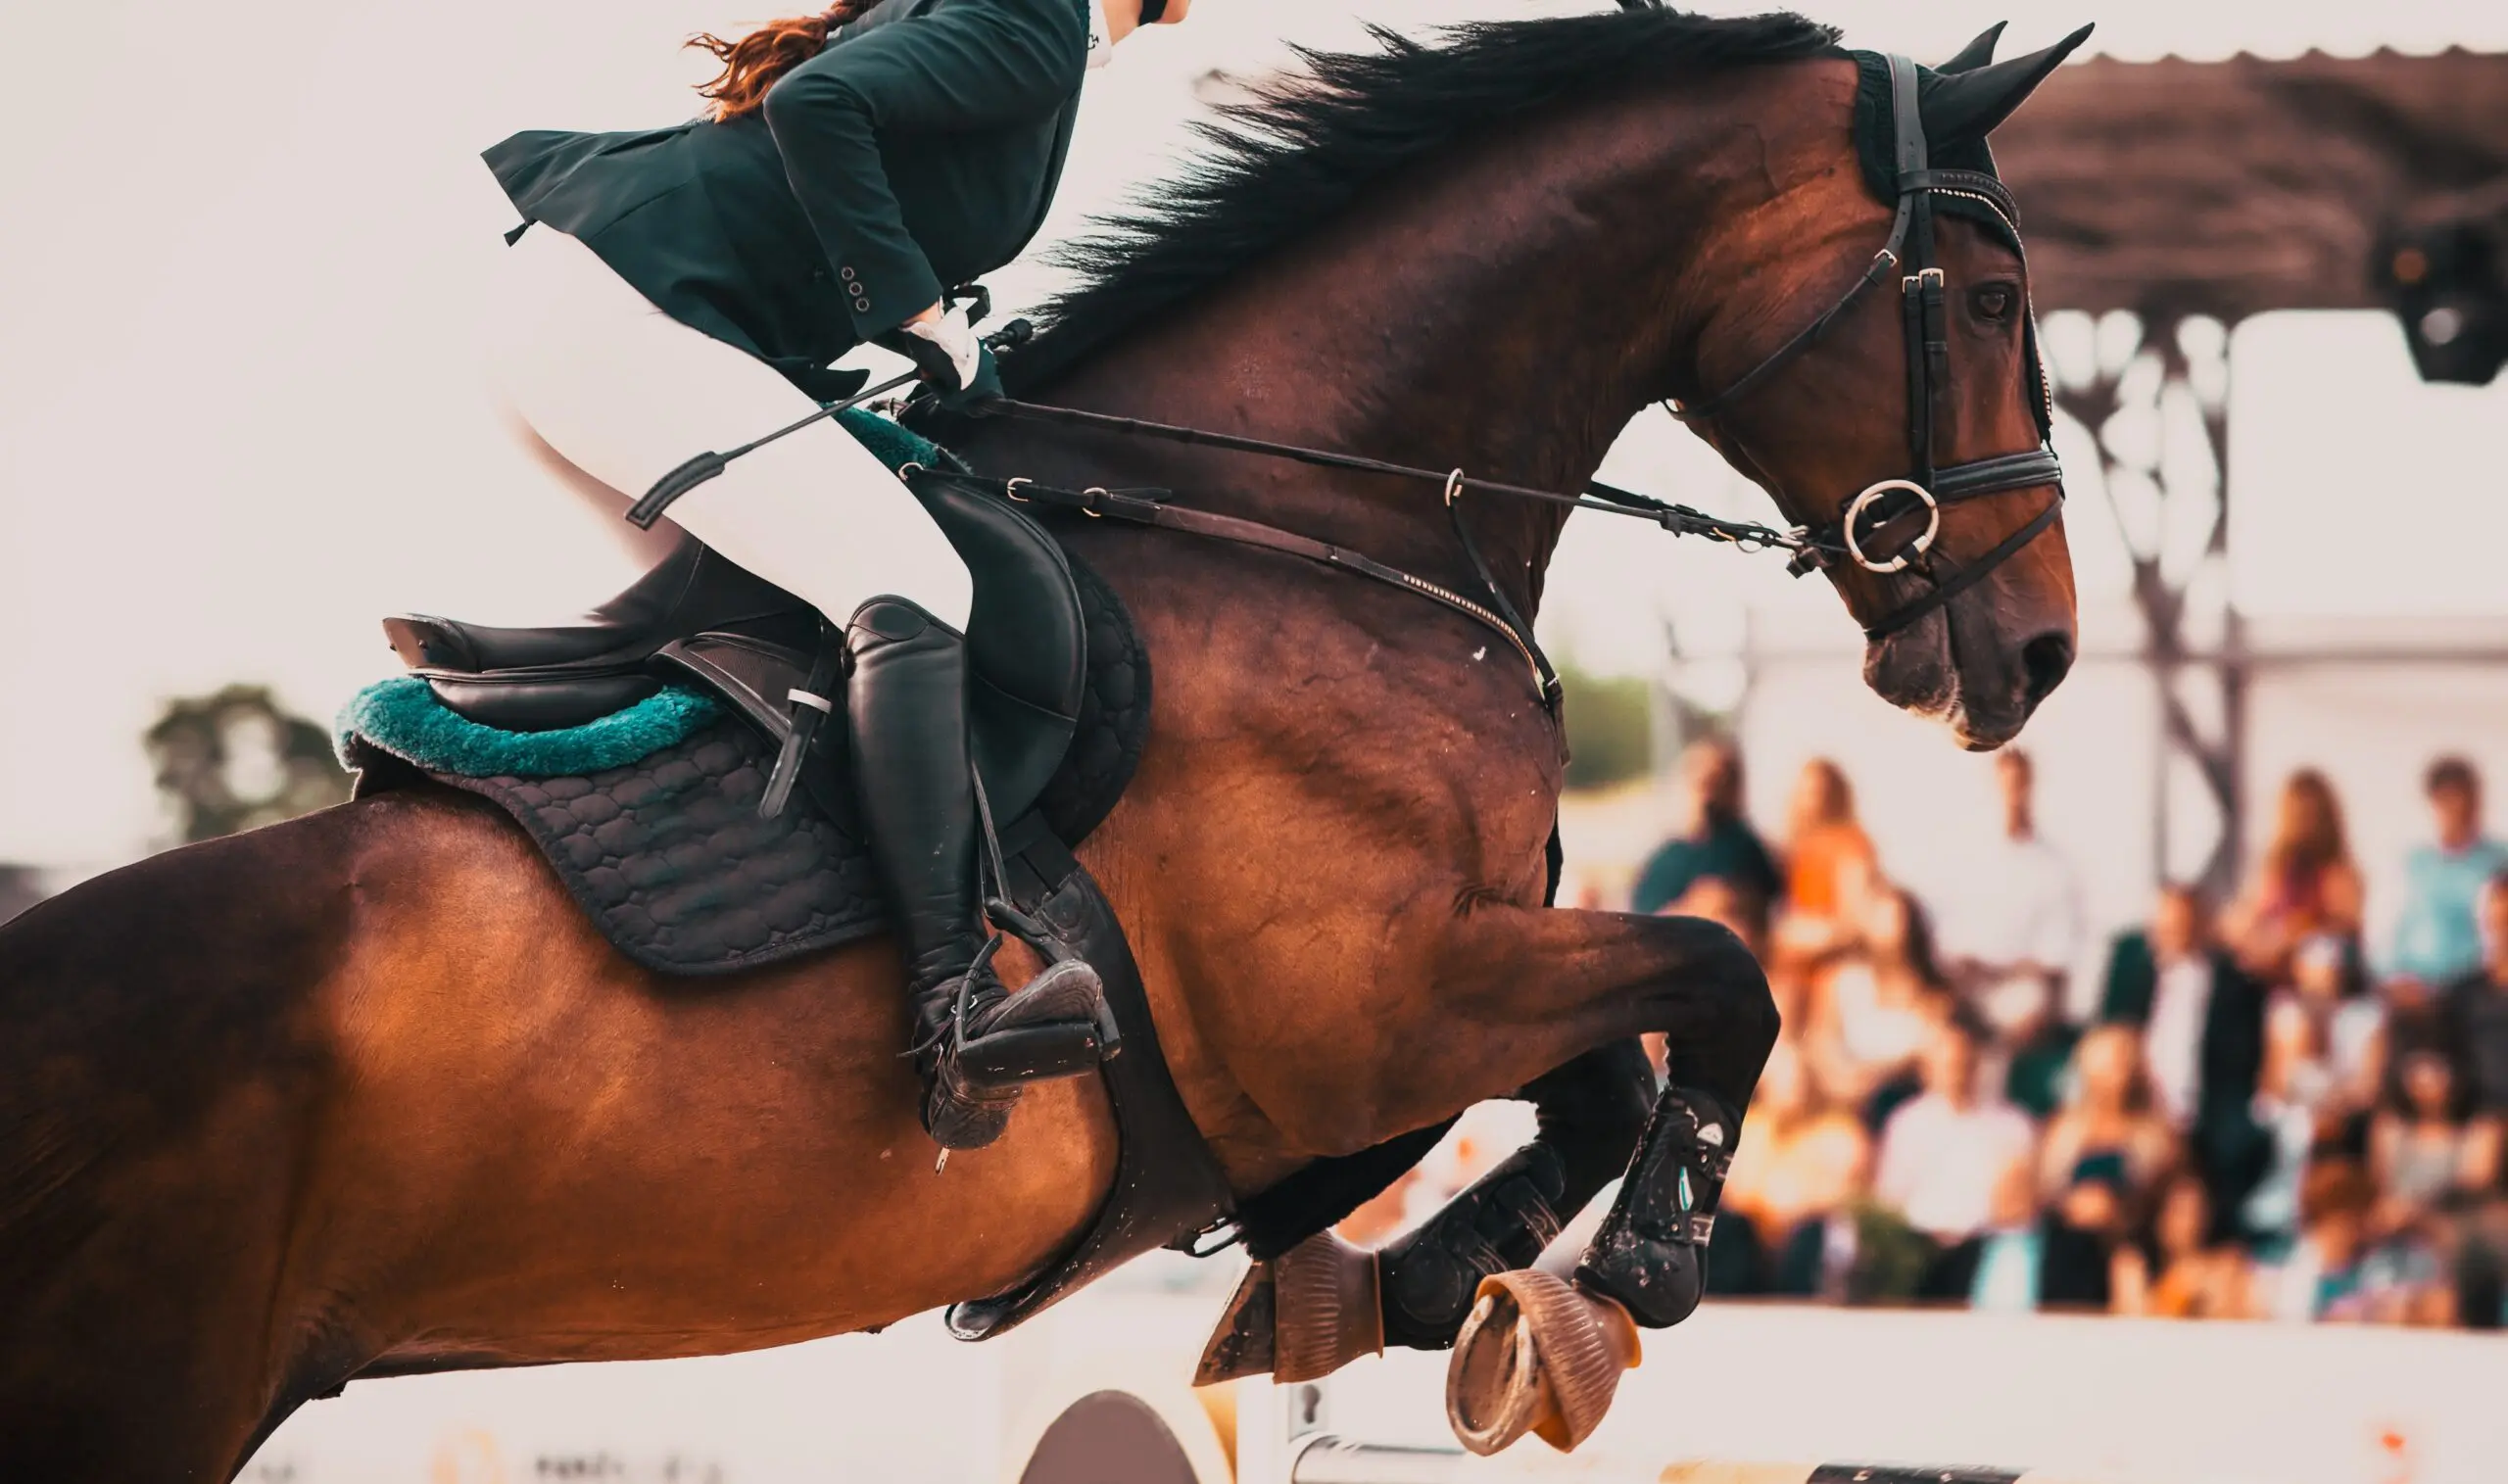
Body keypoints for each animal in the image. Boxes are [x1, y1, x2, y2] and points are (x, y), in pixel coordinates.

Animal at [0, 12, 2082, 1477]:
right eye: (1990, 297)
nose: (2041, 652)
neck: (1306, 526)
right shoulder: (1371, 1007)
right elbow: (1720, 972)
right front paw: (1641, 1260)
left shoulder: (1442, 984)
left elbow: (1604, 1066)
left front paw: (1402, 1288)